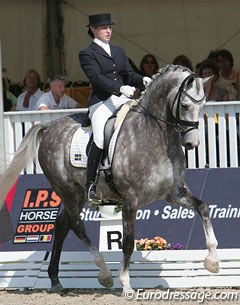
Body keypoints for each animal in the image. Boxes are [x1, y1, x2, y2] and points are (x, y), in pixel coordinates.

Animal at [0, 64, 218, 292]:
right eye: (184, 105)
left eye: (203, 105)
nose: (192, 144)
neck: (155, 135)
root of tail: (49, 127)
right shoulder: (130, 199)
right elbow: (128, 242)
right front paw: (126, 283)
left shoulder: (174, 192)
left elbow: (203, 207)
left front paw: (213, 261)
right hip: (66, 190)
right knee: (76, 225)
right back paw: (104, 273)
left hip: (78, 194)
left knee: (62, 225)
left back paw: (55, 280)